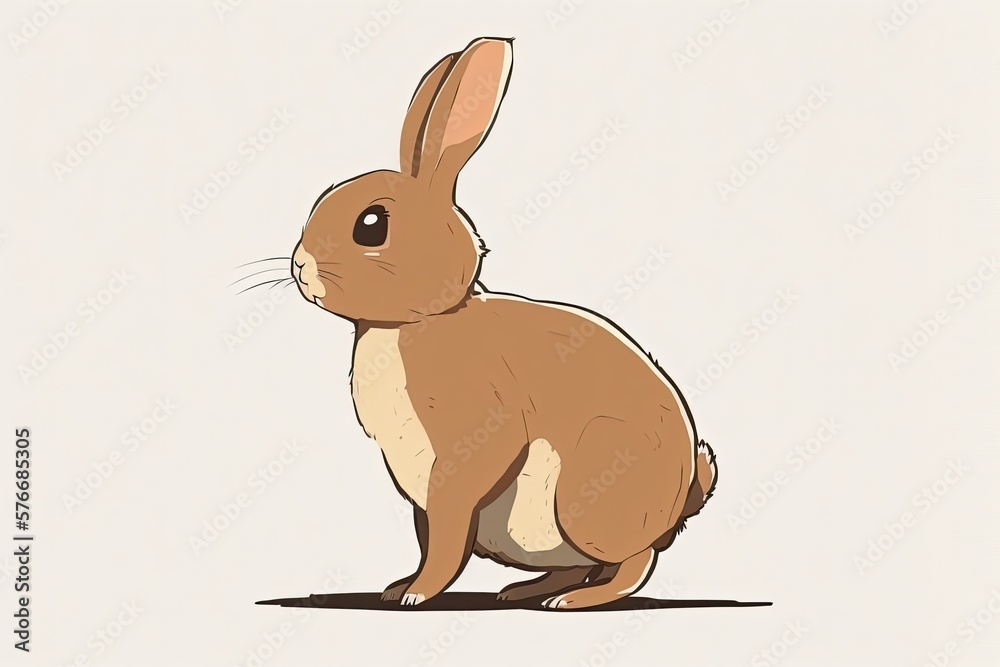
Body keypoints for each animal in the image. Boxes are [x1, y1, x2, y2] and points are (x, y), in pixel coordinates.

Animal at [288, 36, 716, 610]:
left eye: (371, 225)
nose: (299, 267)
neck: (420, 320)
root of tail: (680, 500)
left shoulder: (470, 443)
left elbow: (448, 537)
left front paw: (416, 596)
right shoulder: (421, 493)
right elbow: (430, 538)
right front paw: (400, 587)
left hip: (591, 489)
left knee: (633, 562)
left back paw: (574, 601)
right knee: (580, 565)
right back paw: (522, 591)